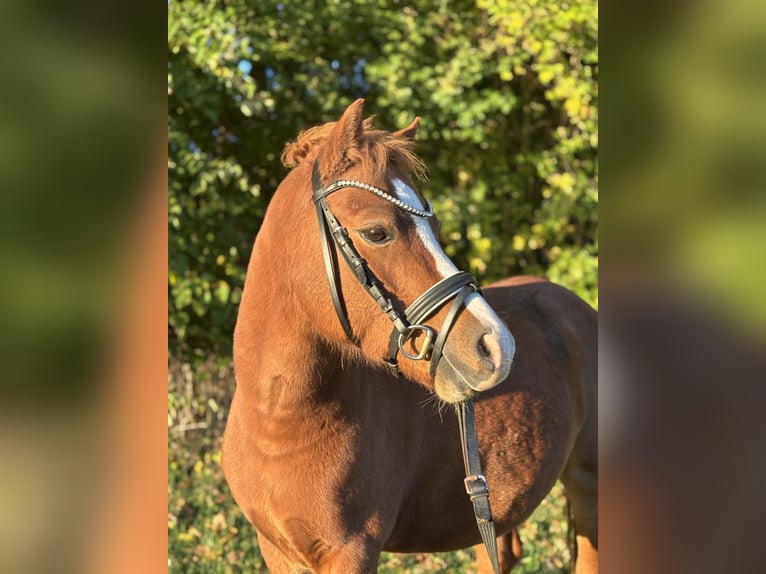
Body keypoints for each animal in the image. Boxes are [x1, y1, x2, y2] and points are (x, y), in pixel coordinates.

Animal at [222, 99, 598, 573]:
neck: (280, 423)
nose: (498, 347)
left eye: (435, 230)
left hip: (588, 481)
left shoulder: (353, 550)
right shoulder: (278, 552)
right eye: (376, 232)